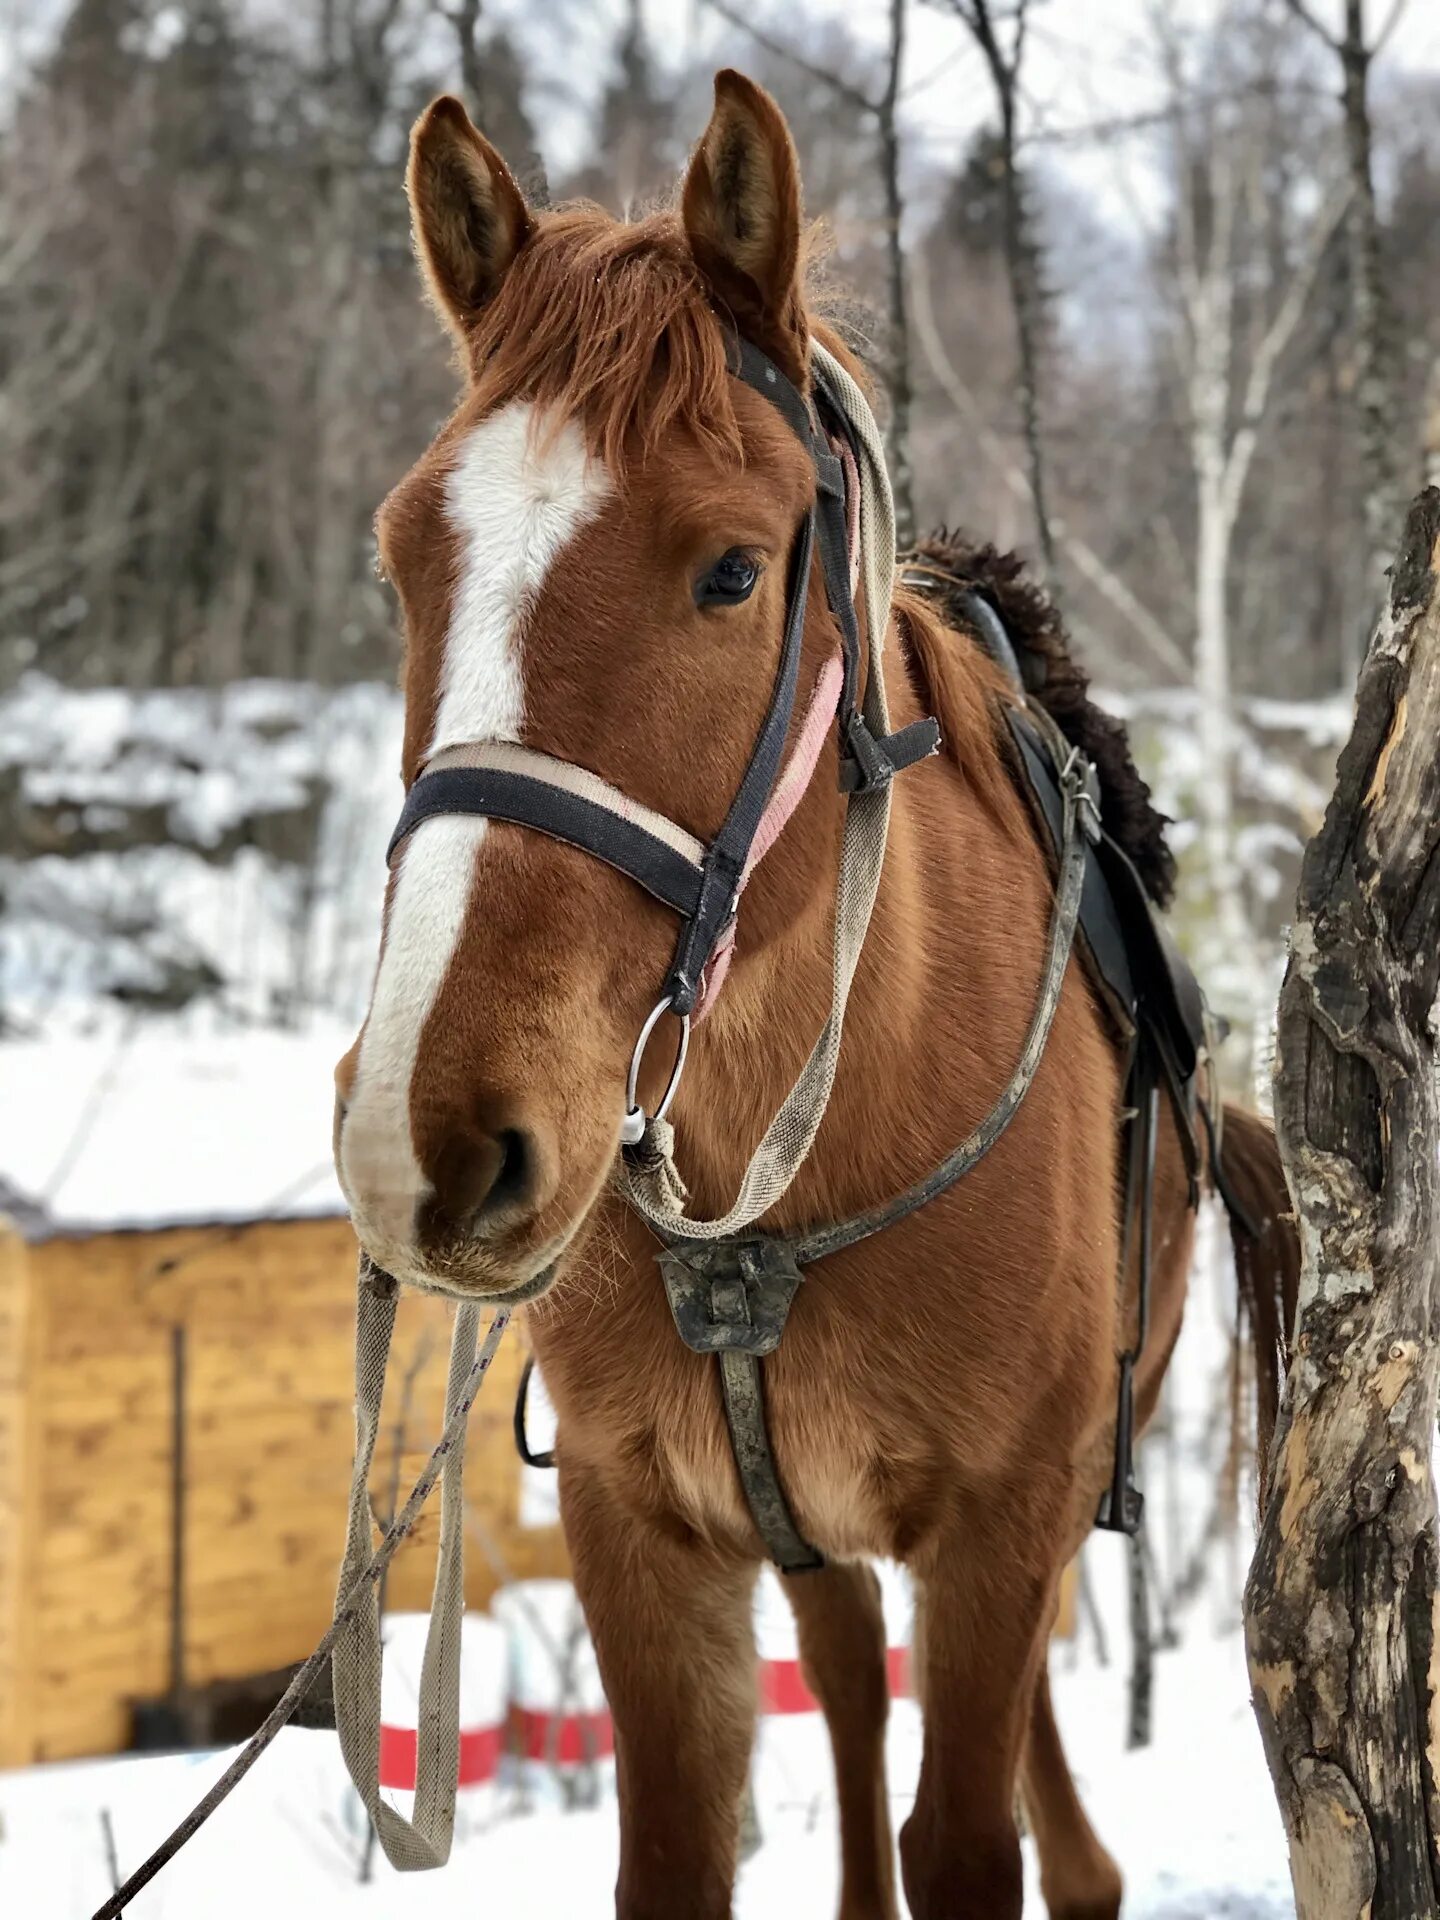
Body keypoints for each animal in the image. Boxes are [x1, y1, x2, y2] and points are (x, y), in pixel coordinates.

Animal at [332, 71, 1305, 1920]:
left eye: (729, 572)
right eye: (403, 562)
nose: (431, 1135)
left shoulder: (1002, 1525)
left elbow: (970, 1837)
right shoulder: (646, 1537)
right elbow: (699, 1837)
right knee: (852, 1686)